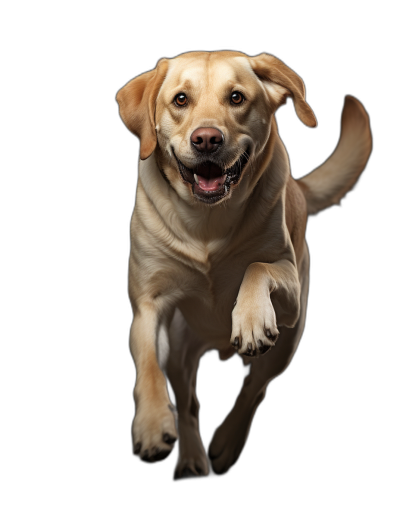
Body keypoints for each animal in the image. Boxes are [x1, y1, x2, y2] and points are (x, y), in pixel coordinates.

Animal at [115, 51, 372, 478]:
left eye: (236, 97)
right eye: (181, 100)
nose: (206, 139)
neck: (206, 221)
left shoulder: (289, 287)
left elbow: (257, 268)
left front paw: (250, 318)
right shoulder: (148, 306)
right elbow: (149, 366)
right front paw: (151, 425)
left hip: (288, 341)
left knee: (255, 389)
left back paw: (227, 443)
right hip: (182, 352)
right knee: (189, 403)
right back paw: (192, 456)